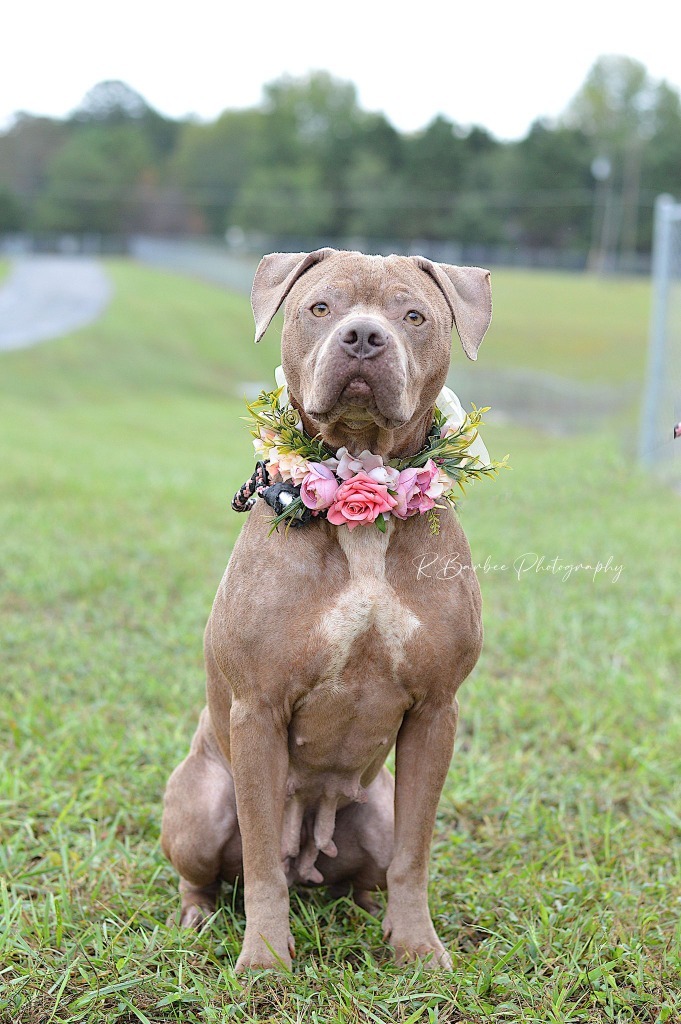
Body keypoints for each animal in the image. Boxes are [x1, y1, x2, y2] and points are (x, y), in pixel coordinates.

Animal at [161, 245, 491, 966]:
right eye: (320, 307)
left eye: (413, 315)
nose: (363, 336)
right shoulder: (257, 712)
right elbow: (260, 861)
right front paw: (265, 958)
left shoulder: (436, 713)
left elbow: (415, 855)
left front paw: (417, 946)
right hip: (198, 804)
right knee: (210, 872)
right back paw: (198, 916)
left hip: (377, 807)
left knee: (370, 869)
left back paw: (370, 913)